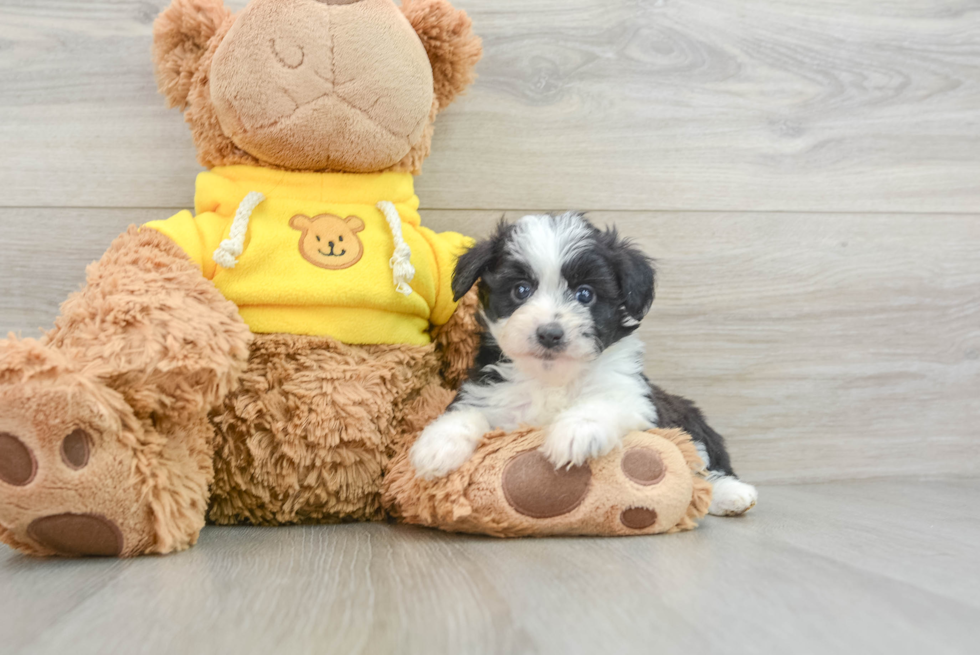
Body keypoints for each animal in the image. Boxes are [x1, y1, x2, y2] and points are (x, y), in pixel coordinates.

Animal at [410, 213, 760, 516]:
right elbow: (467, 412)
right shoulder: (488, 391)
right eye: (521, 290)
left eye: (585, 294)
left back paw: (731, 494)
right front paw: (437, 445)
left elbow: (604, 402)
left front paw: (575, 432)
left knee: (703, 463)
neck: (552, 378)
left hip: (690, 422)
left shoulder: (636, 399)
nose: (550, 333)